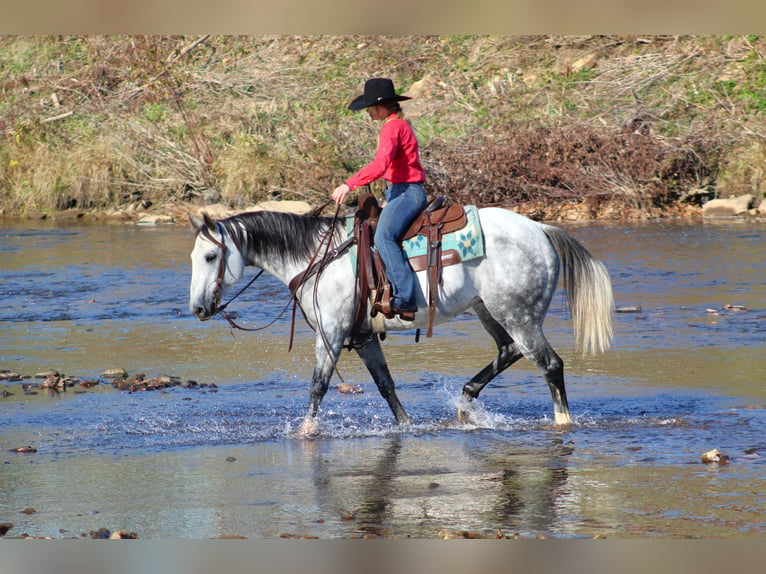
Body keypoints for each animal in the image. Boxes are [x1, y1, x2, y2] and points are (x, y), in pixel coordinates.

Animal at [189, 207, 616, 436]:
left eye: (211, 256)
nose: (197, 309)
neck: (317, 258)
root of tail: (541, 230)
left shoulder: (332, 332)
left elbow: (318, 385)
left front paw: (306, 431)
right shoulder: (363, 338)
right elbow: (386, 386)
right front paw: (407, 426)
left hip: (517, 313)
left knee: (549, 364)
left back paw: (561, 423)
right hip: (490, 310)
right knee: (508, 350)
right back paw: (465, 402)